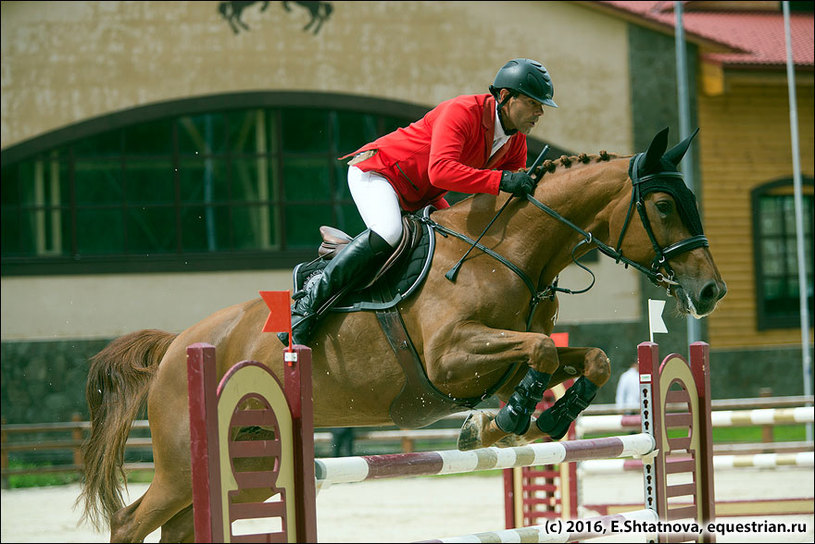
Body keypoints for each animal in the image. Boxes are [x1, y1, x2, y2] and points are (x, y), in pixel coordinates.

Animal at [78, 127, 728, 540]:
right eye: (665, 206)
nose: (710, 292)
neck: (510, 253)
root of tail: (178, 347)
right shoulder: (449, 357)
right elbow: (542, 351)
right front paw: (508, 421)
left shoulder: (501, 362)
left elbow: (585, 360)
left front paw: (521, 421)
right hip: (182, 462)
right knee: (130, 522)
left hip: (248, 460)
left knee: (180, 526)